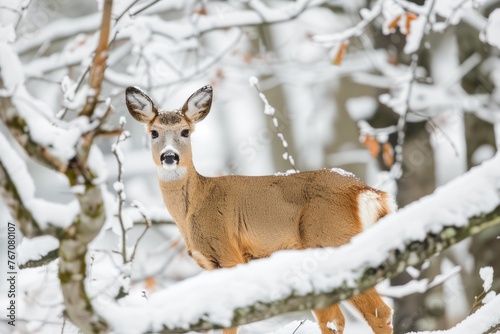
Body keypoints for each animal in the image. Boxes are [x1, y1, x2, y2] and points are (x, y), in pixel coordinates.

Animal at [126, 85, 398, 332]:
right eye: (153, 133)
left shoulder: (229, 252)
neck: (196, 204)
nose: (169, 156)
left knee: (378, 312)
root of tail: (365, 190)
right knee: (335, 319)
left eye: (185, 131)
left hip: (332, 238)